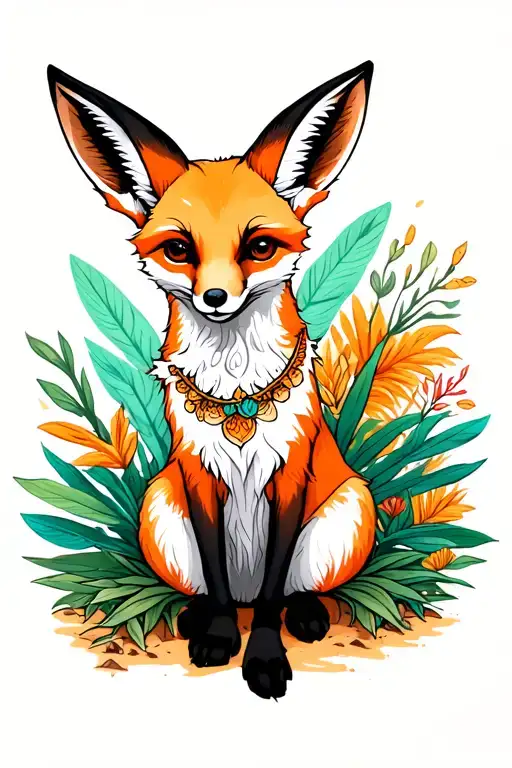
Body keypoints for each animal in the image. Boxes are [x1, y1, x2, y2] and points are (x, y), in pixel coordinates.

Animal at [48, 61, 377, 699]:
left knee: (295, 589)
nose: (216, 298)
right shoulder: (198, 475)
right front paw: (222, 638)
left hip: (349, 511)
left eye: (260, 246)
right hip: (158, 506)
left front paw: (265, 658)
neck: (237, 395)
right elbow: (218, 580)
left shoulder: (290, 476)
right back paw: (197, 616)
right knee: (210, 588)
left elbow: (272, 594)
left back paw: (306, 613)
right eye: (179, 249)